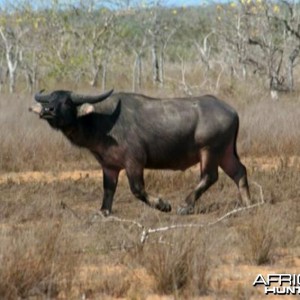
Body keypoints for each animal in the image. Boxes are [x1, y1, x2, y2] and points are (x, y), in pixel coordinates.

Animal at [30, 89, 251, 216]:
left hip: (209, 151)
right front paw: (103, 212)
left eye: (67, 101)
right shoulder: (109, 166)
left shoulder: (134, 161)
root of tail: (232, 110)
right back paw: (247, 204)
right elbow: (108, 189)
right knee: (239, 171)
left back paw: (186, 206)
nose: (47, 110)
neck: (103, 121)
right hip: (225, 153)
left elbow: (137, 189)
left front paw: (163, 205)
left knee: (210, 176)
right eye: (49, 100)